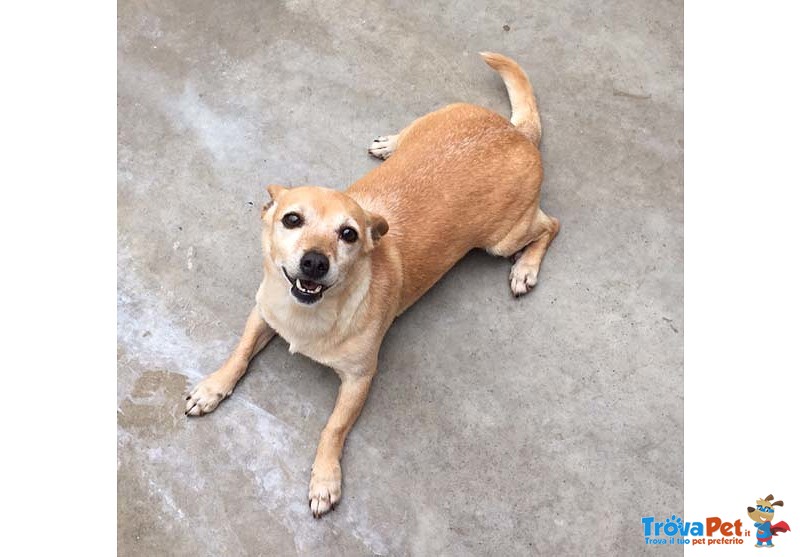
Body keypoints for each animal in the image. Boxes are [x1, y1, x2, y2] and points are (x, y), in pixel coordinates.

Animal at [186, 53, 564, 516]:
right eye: (292, 219)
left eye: (348, 234)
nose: (315, 261)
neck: (310, 315)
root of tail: (516, 133)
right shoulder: (262, 313)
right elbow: (238, 354)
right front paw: (212, 388)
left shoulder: (360, 379)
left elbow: (333, 427)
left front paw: (325, 478)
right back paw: (389, 144)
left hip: (503, 239)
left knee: (550, 224)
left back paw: (525, 269)